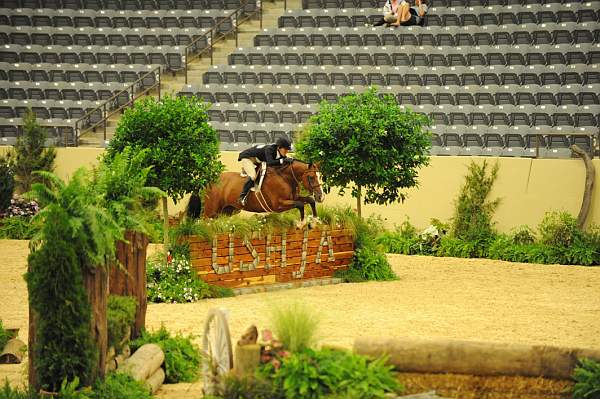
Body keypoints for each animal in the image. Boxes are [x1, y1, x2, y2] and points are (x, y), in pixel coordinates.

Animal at [188, 160, 326, 222]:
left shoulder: (293, 198)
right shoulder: (278, 205)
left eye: (320, 176)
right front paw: (302, 223)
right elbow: (300, 204)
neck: (285, 178)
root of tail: (207, 181)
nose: (321, 197)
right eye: (311, 177)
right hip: (210, 212)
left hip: (226, 211)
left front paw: (315, 220)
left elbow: (309, 200)